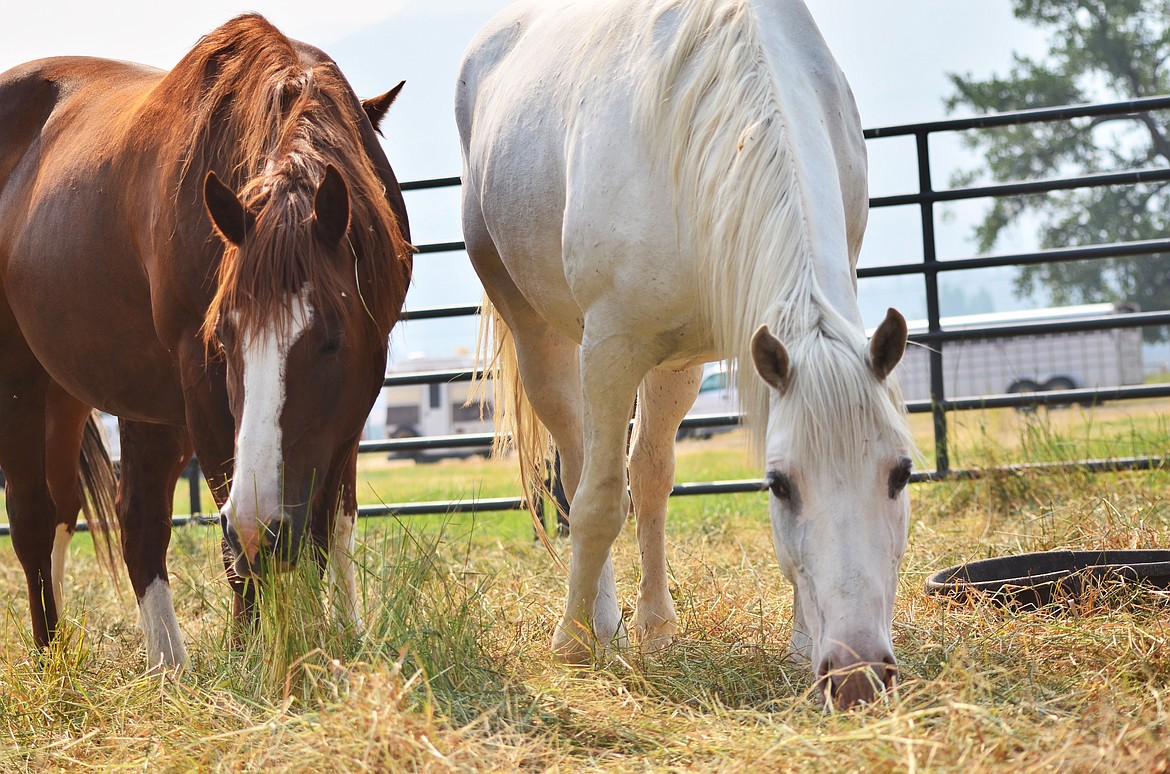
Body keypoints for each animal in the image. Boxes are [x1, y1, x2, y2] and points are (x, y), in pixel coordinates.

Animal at [0, 12, 411, 668]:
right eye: (223, 339)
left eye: (330, 340)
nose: (261, 521)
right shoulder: (201, 386)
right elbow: (240, 546)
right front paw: (253, 657)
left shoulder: (353, 400)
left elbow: (329, 525)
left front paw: (330, 638)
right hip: (20, 379)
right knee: (37, 516)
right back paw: (53, 662)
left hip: (71, 392)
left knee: (101, 513)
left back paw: (144, 660)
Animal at [456, 0, 912, 710]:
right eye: (780, 485)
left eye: (901, 474)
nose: (857, 674)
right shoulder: (611, 346)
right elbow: (598, 502)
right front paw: (572, 644)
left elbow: (645, 485)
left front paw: (799, 646)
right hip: (544, 339)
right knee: (585, 472)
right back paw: (598, 628)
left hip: (676, 367)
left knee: (650, 476)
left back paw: (655, 626)